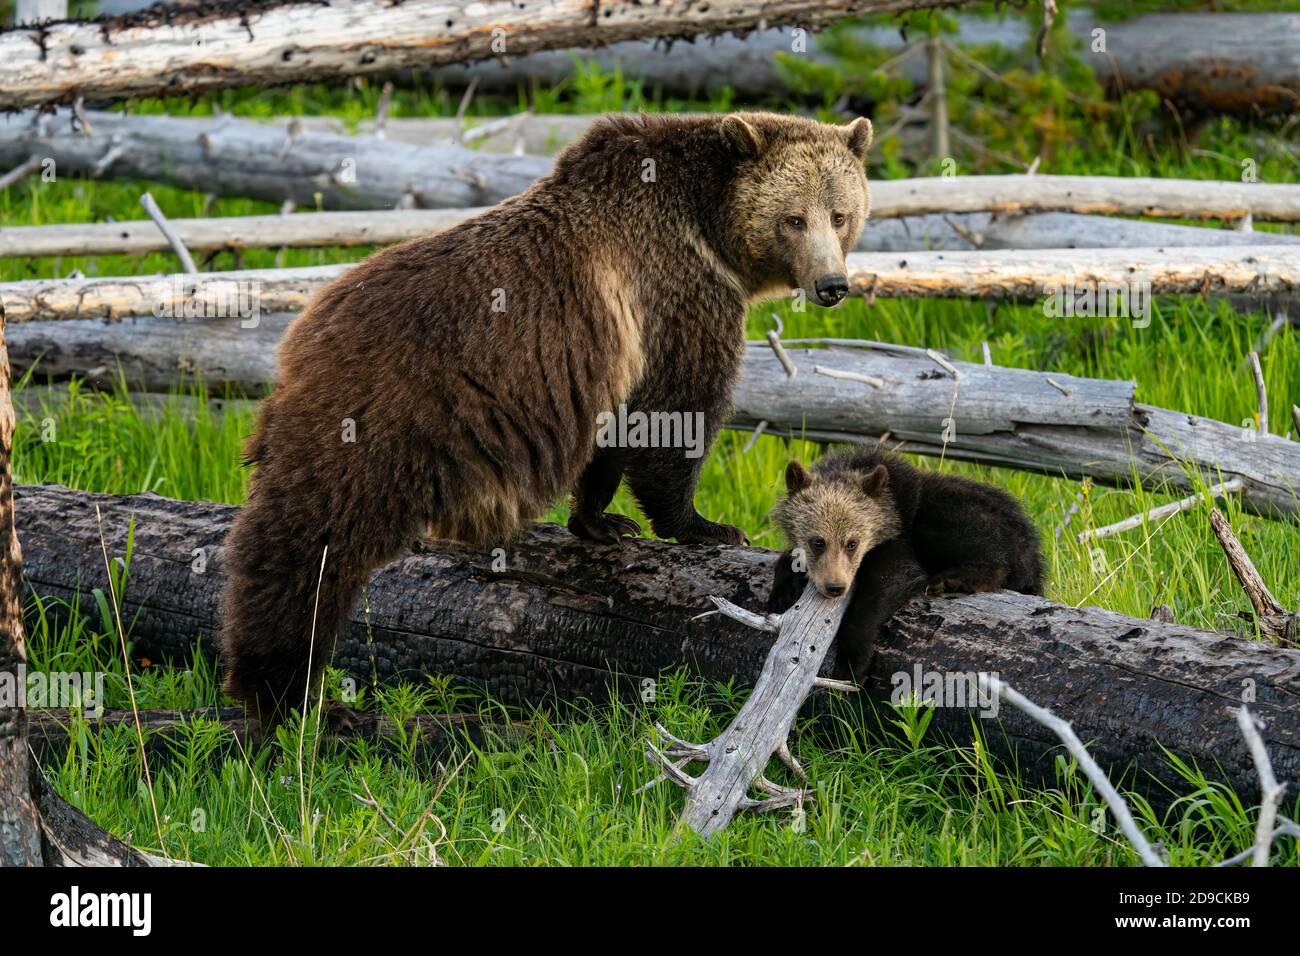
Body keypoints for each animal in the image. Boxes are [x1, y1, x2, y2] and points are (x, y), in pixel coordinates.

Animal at [220, 111, 873, 723]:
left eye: (840, 214)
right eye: (794, 218)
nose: (832, 284)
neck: (706, 225)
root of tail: (300, 338)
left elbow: (618, 432)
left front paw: (601, 520)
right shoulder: (679, 297)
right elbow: (678, 411)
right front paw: (706, 525)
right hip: (381, 420)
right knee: (311, 547)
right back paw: (285, 689)